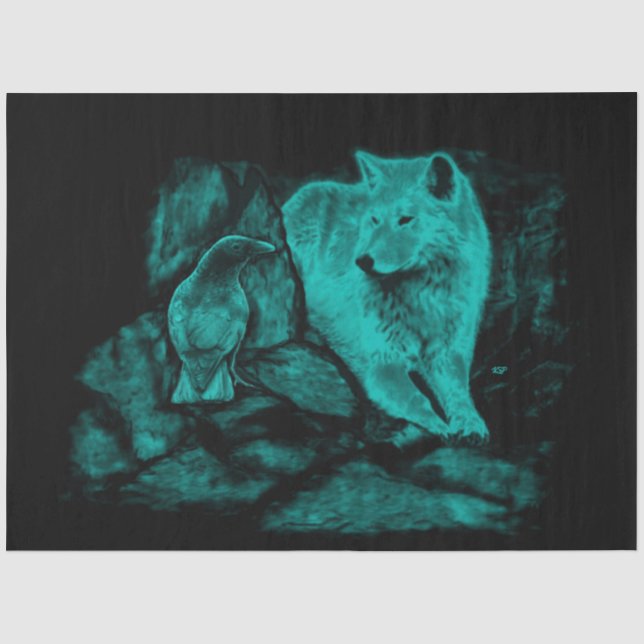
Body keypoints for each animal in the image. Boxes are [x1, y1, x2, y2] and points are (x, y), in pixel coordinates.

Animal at [282, 151, 491, 443]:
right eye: (374, 220)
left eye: (405, 219)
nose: (362, 261)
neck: (420, 296)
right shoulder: (382, 364)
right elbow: (417, 398)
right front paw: (439, 426)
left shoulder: (447, 355)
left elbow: (459, 394)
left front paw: (471, 423)